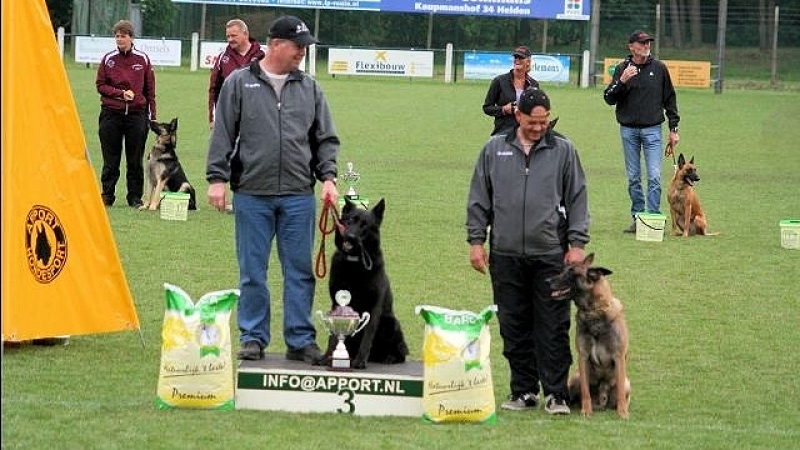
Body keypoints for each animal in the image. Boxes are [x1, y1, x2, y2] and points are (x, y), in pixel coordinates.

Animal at [318, 200, 410, 370]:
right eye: (350, 221)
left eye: (365, 225)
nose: (351, 237)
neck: (355, 264)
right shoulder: (337, 304)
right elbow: (333, 336)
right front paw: (327, 356)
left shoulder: (373, 308)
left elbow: (367, 335)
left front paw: (360, 361)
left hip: (390, 322)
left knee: (400, 352)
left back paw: (389, 358)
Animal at [552, 253, 632, 418]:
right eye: (563, 270)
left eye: (571, 273)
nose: (548, 281)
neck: (594, 312)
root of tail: (602, 401)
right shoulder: (583, 357)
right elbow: (585, 391)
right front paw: (586, 411)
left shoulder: (618, 356)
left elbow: (620, 392)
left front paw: (622, 413)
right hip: (575, 377)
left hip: (627, 382)